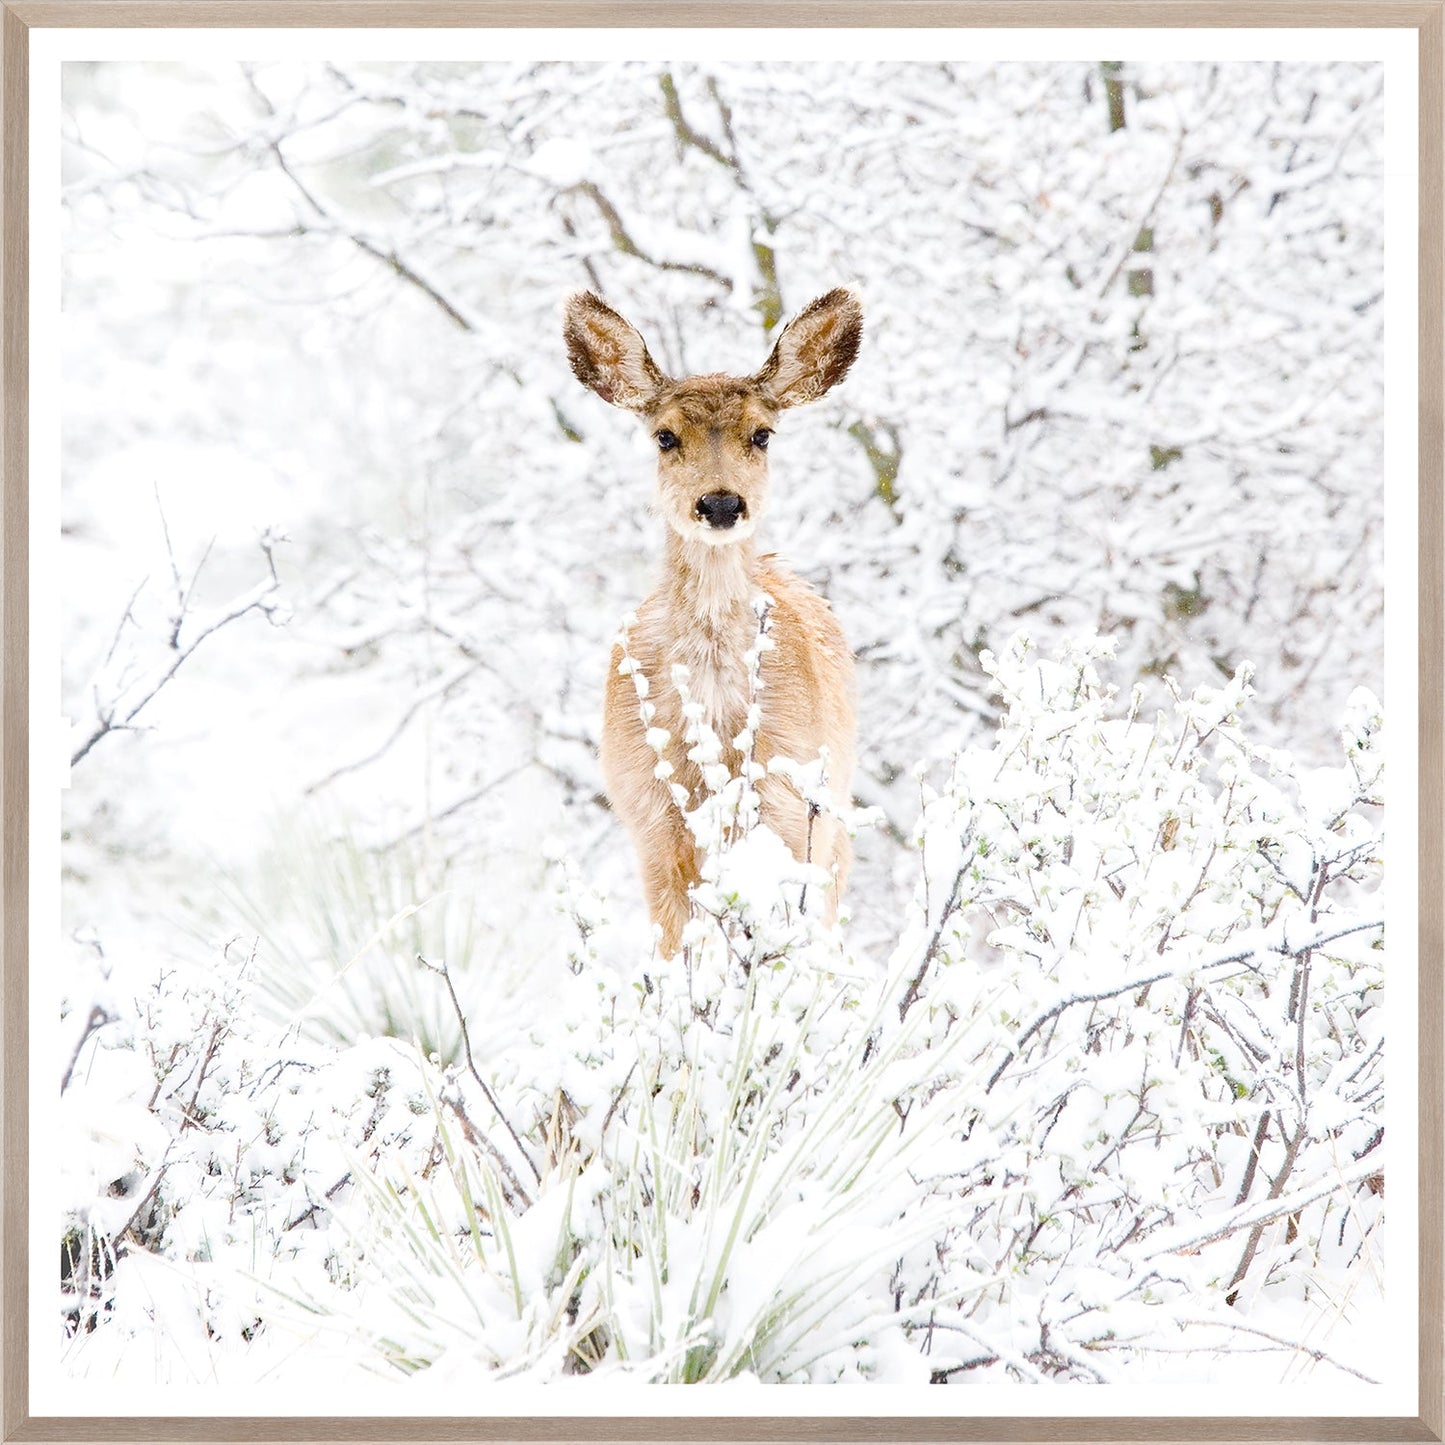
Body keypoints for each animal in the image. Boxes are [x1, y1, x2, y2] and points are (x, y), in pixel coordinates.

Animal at [564, 287, 862, 956]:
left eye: (763, 434)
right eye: (665, 436)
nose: (721, 503)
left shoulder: (789, 802)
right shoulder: (649, 812)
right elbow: (676, 945)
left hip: (834, 814)